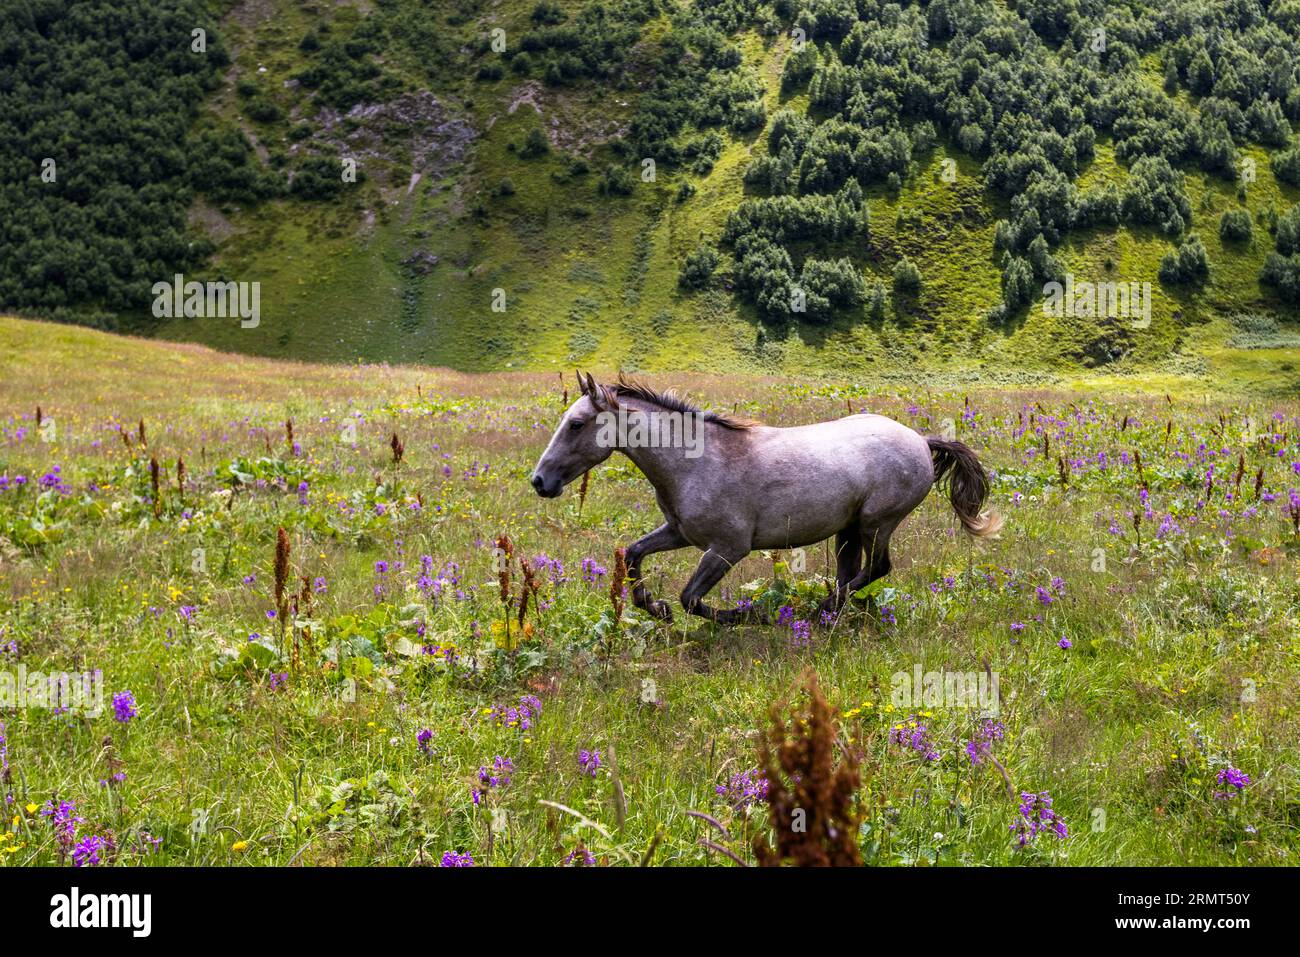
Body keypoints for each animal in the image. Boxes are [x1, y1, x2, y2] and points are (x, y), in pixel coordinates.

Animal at [530, 372, 1002, 625]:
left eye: (575, 424)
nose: (539, 481)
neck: (697, 461)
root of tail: (922, 441)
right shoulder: (680, 533)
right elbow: (632, 555)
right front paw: (654, 607)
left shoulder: (728, 547)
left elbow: (691, 598)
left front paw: (744, 616)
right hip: (848, 530)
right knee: (851, 575)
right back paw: (824, 615)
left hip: (876, 523)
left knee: (878, 568)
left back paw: (813, 611)